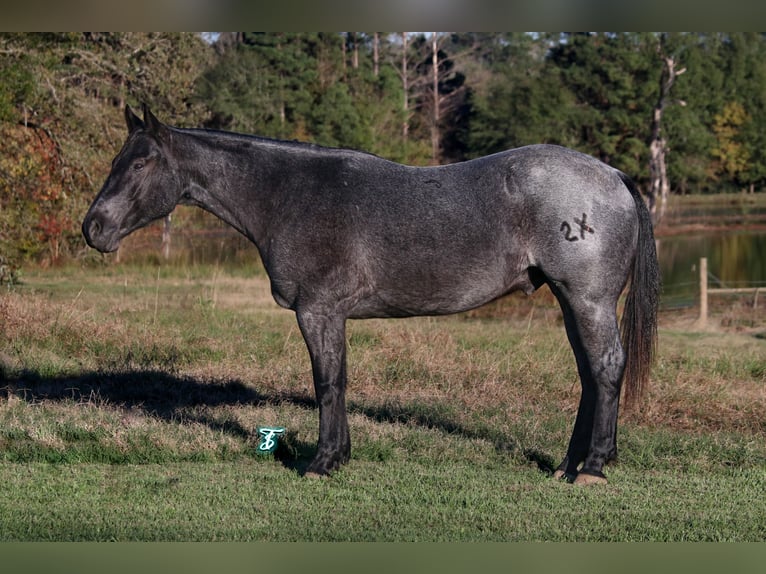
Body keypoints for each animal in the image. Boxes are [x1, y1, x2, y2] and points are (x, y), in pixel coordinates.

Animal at [84, 104, 660, 486]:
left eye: (139, 164)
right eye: (116, 160)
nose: (93, 228)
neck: (289, 195)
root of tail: (613, 175)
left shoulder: (317, 312)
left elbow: (327, 384)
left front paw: (321, 463)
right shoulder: (330, 315)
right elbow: (338, 382)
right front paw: (338, 457)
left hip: (587, 301)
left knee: (606, 369)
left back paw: (593, 468)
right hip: (569, 301)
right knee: (589, 376)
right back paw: (567, 465)